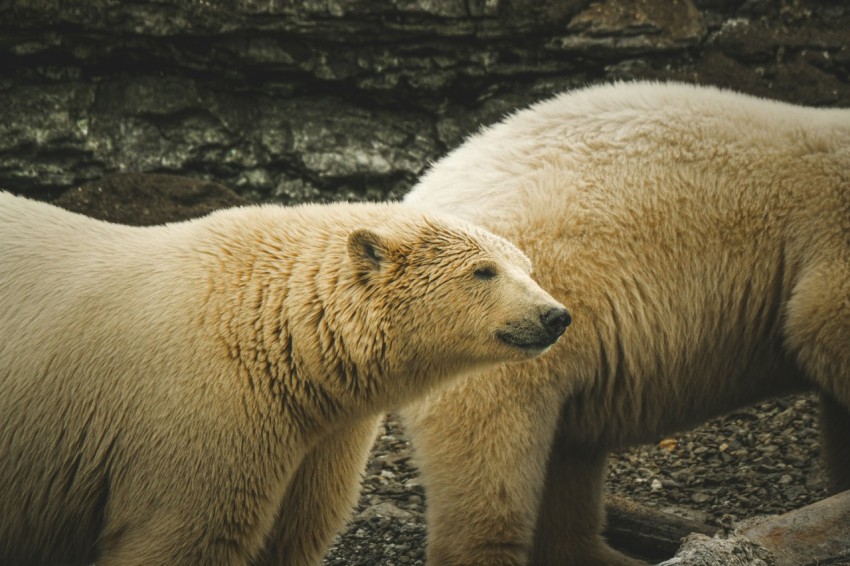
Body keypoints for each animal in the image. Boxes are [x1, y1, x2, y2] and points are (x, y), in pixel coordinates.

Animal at [0, 195, 568, 566]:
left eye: (527, 266)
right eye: (484, 271)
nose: (555, 316)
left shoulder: (320, 438)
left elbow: (293, 532)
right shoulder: (200, 414)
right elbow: (185, 536)